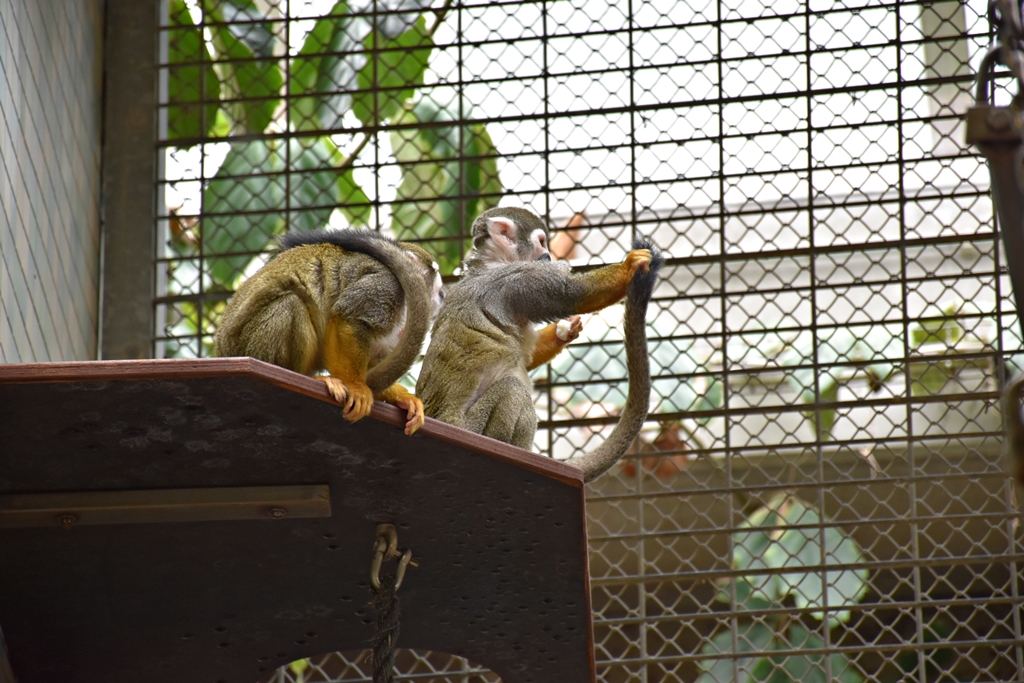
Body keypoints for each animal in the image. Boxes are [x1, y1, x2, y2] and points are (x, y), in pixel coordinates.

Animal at [215, 229, 444, 435]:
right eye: (436, 281)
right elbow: (348, 317)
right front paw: (356, 387)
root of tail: (223, 352)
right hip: (250, 346)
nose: (442, 294)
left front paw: (400, 397)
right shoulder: (387, 284)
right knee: (291, 304)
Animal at [416, 207, 664, 481]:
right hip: (471, 427)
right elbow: (572, 293)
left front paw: (562, 332)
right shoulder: (515, 279)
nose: (548, 255)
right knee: (513, 390)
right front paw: (629, 266)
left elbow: (529, 356)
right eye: (542, 242)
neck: (492, 263)